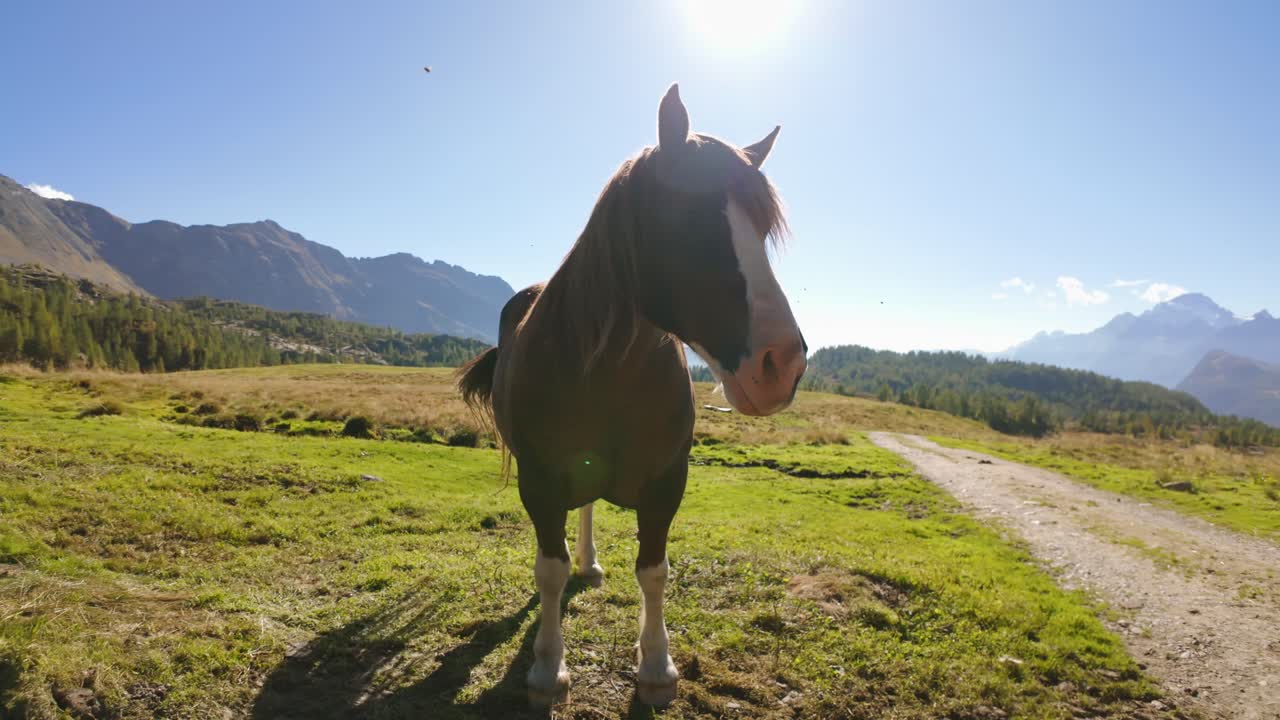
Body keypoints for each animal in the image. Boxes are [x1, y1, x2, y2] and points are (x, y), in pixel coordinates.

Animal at [457, 83, 806, 708]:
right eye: (688, 217)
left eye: (763, 231)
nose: (781, 365)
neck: (609, 372)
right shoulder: (540, 481)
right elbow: (548, 569)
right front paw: (548, 667)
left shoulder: (668, 482)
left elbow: (655, 571)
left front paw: (657, 667)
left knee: (590, 505)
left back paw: (591, 564)